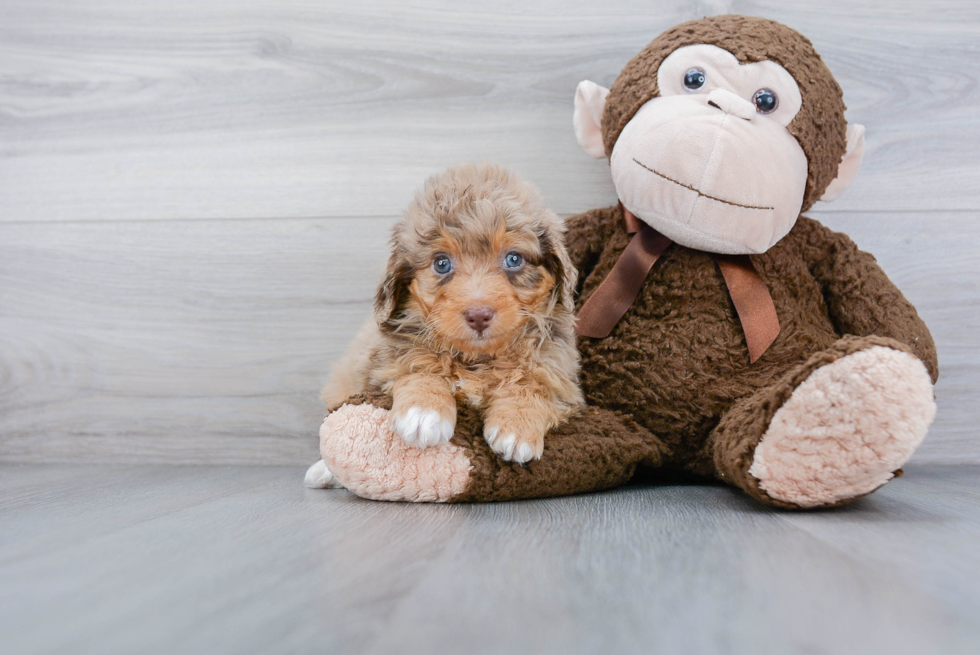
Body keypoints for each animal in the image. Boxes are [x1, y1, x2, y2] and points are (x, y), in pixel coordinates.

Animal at [324, 162, 580, 464]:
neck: (477, 357)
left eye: (513, 259)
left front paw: (518, 425)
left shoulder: (557, 368)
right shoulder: (388, 358)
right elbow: (418, 364)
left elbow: (535, 382)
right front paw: (423, 410)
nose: (478, 315)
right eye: (442, 263)